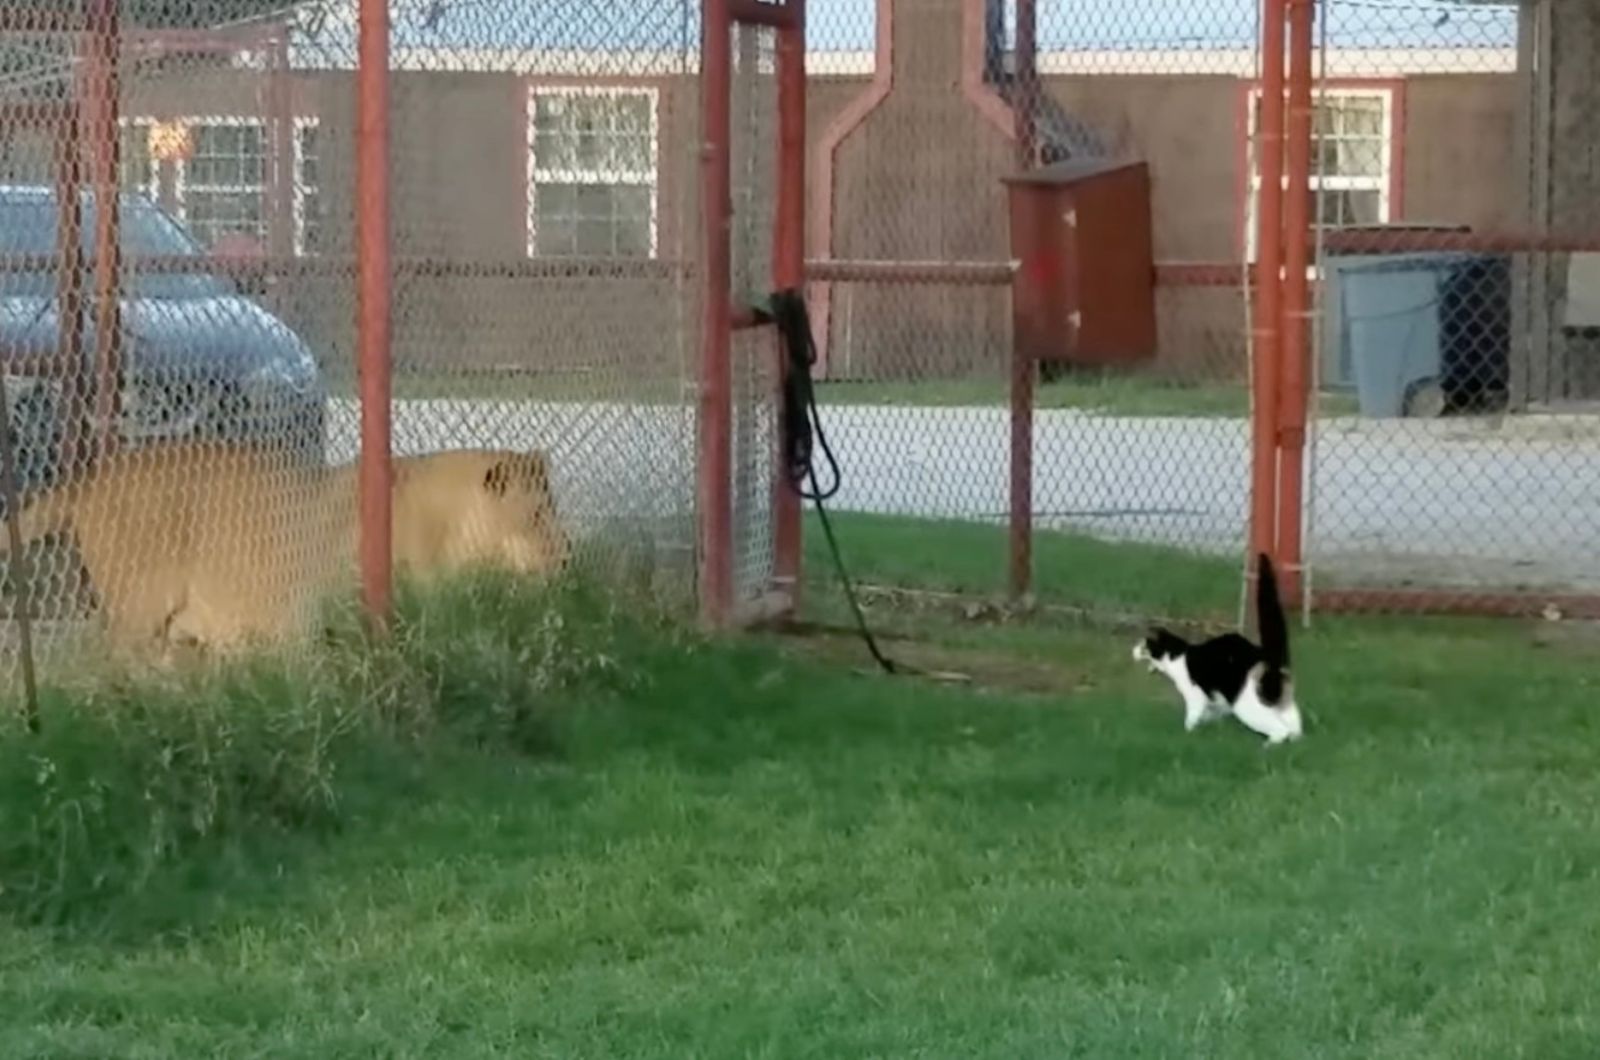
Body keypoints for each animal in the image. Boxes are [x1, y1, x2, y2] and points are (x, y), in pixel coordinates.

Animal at [1132, 557, 1305, 746]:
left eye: (1142, 646)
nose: (1132, 651)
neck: (1175, 655)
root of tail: (1267, 657)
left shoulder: (1196, 696)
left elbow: (1191, 719)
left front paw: (1186, 735)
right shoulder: (1214, 701)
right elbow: (1209, 715)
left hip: (1245, 704)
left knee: (1280, 730)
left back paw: (1267, 746)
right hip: (1284, 703)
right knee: (1294, 725)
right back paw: (1296, 744)